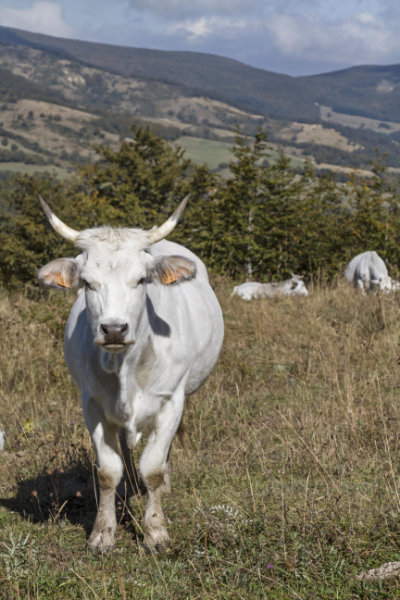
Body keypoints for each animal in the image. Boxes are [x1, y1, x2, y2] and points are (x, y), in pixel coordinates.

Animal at [37, 197, 225, 552]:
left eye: (141, 280)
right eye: (87, 282)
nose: (113, 329)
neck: (126, 367)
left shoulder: (171, 402)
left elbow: (152, 468)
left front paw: (156, 532)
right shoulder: (92, 404)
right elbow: (108, 472)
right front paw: (102, 533)